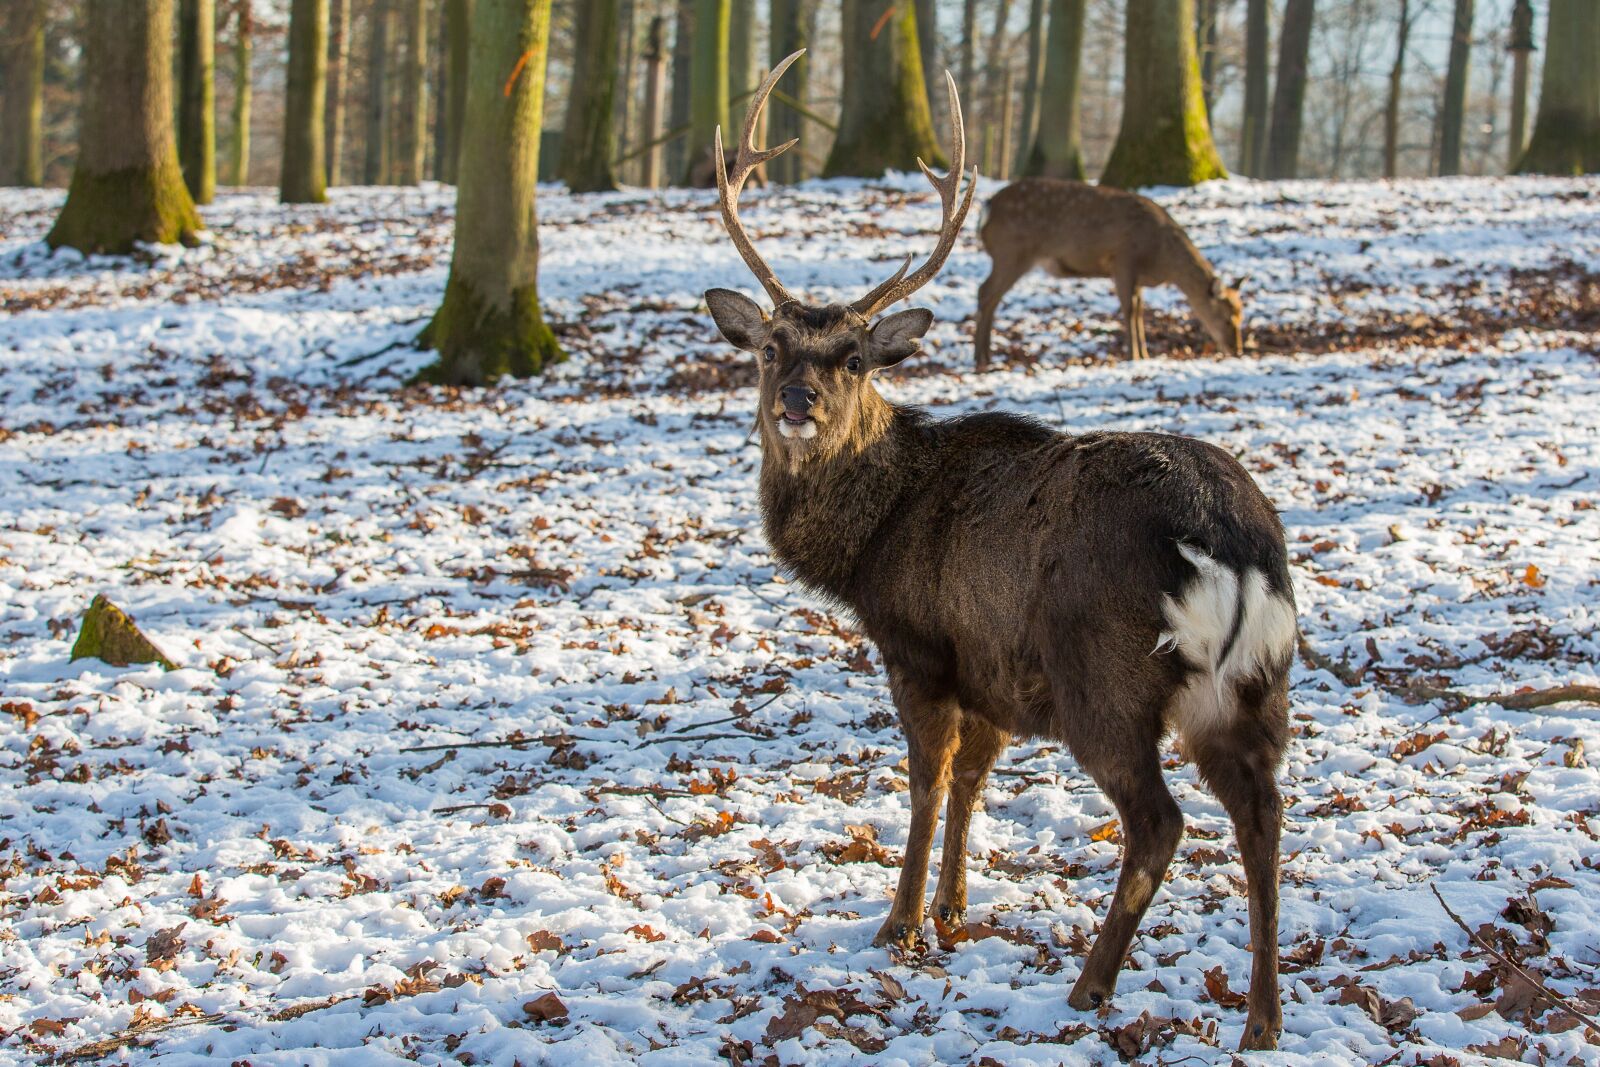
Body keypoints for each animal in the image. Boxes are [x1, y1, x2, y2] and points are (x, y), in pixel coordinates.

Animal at [974, 177, 1244, 370]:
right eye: (1227, 317)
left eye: (1241, 316)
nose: (1238, 350)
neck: (1161, 258)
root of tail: (987, 208)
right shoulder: (1123, 259)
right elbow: (1129, 308)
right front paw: (1134, 356)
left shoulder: (1137, 276)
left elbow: (1140, 309)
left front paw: (1145, 354)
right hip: (1011, 252)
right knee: (985, 292)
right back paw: (980, 358)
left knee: (992, 297)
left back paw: (986, 355)